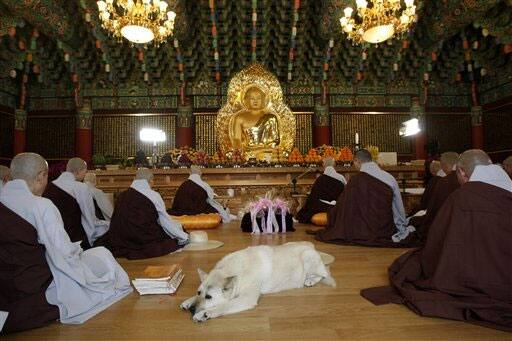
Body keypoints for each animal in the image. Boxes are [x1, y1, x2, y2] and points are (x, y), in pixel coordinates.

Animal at [180, 239, 336, 322]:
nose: (192, 310)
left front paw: (204, 314)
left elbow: (224, 306)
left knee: (324, 274)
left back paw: (310, 280)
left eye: (209, 297)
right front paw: (188, 301)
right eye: (199, 292)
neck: (234, 270)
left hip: (308, 258)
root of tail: (310, 245)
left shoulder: (246, 299)